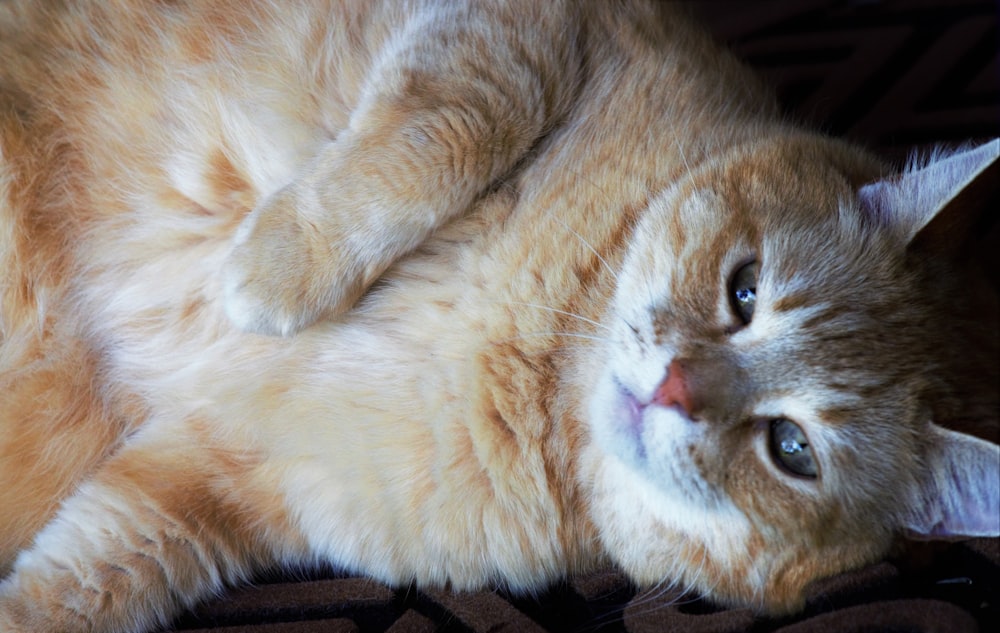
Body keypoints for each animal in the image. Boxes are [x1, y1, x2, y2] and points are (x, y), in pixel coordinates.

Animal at [0, 0, 996, 628]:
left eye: (792, 449)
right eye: (744, 289)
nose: (673, 387)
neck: (544, 359)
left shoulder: (212, 486)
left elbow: (88, 578)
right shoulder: (530, 30)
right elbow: (453, 128)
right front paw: (279, 266)